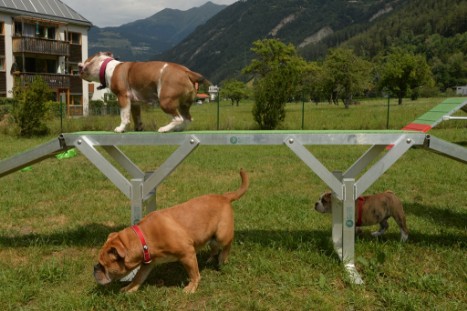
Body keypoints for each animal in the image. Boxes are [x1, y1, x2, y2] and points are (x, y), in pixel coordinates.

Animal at [79, 51, 210, 133]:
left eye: (85, 61)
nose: (78, 65)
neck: (106, 67)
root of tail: (186, 72)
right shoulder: (135, 103)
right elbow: (136, 117)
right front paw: (138, 128)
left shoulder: (123, 97)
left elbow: (124, 116)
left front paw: (121, 128)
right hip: (184, 104)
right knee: (187, 118)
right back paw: (178, 129)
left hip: (165, 101)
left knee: (178, 118)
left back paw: (164, 129)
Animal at [93, 169, 250, 294]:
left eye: (103, 265)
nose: (94, 268)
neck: (143, 238)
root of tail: (225, 196)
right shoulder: (147, 264)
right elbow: (138, 277)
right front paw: (130, 288)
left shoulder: (187, 254)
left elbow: (194, 273)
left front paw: (191, 287)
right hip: (210, 235)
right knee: (214, 246)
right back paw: (211, 258)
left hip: (222, 234)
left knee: (227, 245)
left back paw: (222, 259)